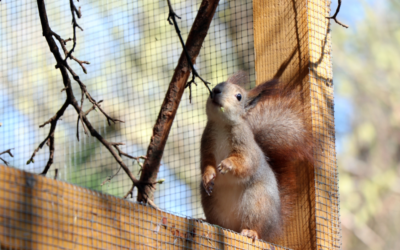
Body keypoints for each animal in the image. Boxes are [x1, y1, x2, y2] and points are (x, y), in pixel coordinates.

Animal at [199, 71, 312, 242]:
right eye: (217, 86)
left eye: (239, 96)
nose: (215, 91)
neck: (221, 125)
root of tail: (274, 226)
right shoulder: (206, 145)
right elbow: (206, 163)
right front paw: (208, 176)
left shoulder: (246, 146)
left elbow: (246, 163)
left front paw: (227, 164)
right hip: (211, 203)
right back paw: (208, 221)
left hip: (257, 202)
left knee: (256, 225)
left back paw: (251, 232)